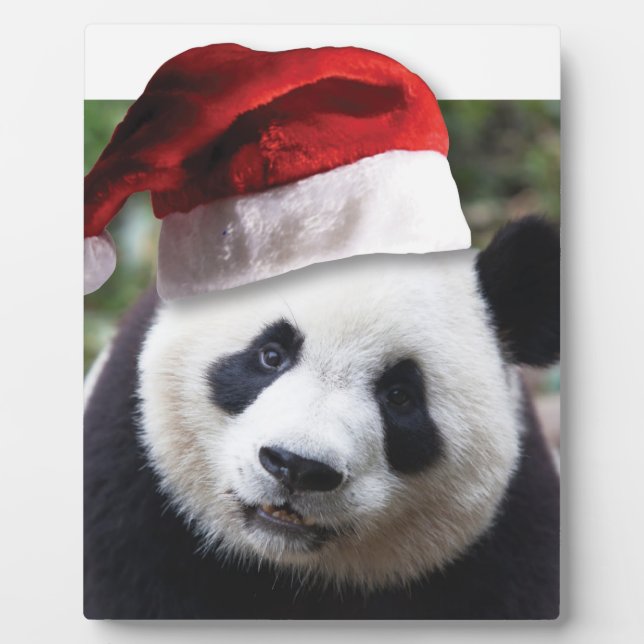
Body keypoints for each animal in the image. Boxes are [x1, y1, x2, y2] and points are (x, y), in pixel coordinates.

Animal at [84, 215, 560, 619]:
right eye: (271, 355)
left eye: (400, 396)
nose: (297, 466)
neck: (284, 567)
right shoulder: (130, 491)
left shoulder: (508, 545)